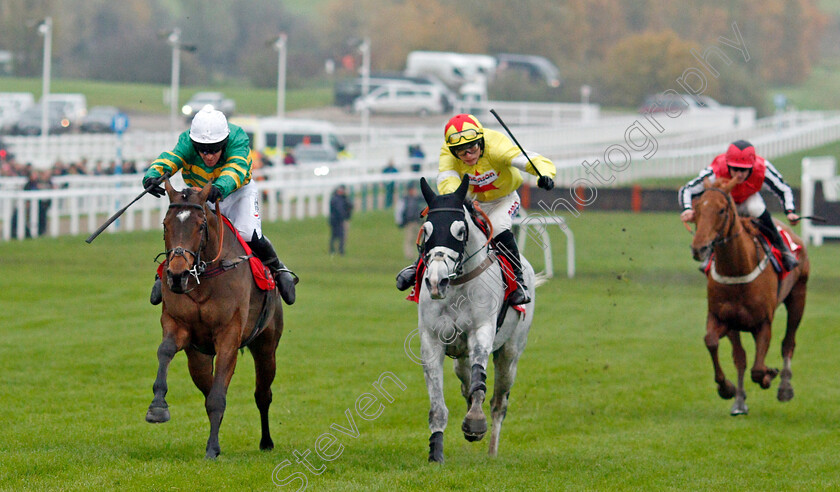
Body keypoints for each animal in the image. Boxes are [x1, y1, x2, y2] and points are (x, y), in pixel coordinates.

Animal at [146, 180, 284, 458]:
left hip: (266, 345)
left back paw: (266, 442)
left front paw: (211, 448)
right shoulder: (177, 324)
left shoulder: (229, 334)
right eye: (165, 224)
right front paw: (157, 406)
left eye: (200, 225)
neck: (203, 277)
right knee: (208, 385)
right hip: (198, 358)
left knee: (262, 394)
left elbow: (219, 395)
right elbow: (165, 351)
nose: (177, 275)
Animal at [416, 177, 540, 462]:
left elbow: (479, 379)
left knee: (498, 402)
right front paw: (435, 452)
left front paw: (474, 422)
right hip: (459, 358)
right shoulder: (431, 341)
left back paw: (492, 448)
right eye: (426, 230)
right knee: (465, 384)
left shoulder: (481, 331)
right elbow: (438, 404)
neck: (457, 286)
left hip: (510, 354)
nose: (437, 281)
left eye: (460, 231)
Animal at [688, 177, 808, 416]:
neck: (737, 270)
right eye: (697, 209)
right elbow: (716, 345)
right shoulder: (724, 318)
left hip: (798, 297)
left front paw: (769, 376)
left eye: (722, 210)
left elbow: (758, 368)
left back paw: (785, 388)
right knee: (743, 357)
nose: (699, 248)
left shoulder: (763, 323)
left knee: (788, 343)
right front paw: (728, 390)